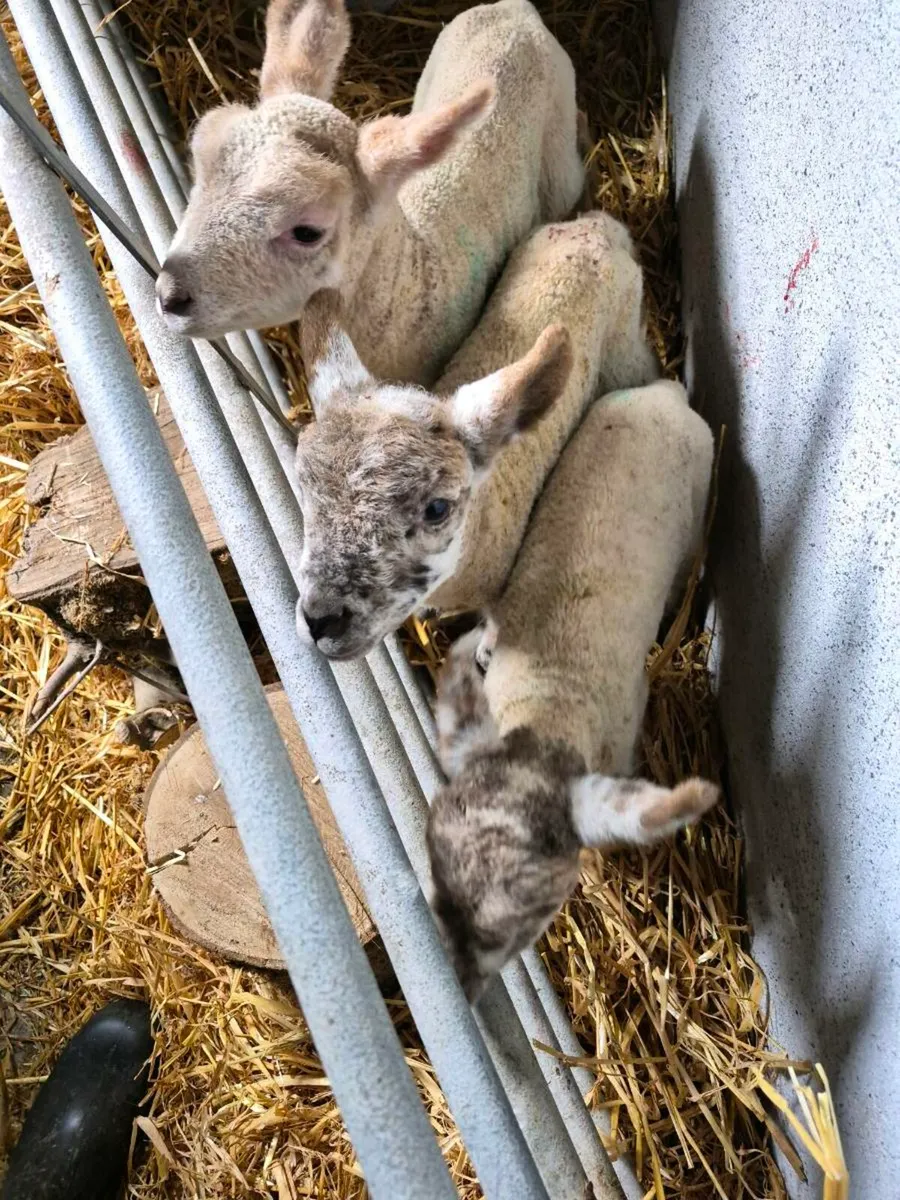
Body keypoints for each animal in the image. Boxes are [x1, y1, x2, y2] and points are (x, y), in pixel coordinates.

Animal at [293, 209, 659, 658]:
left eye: (437, 509)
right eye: (303, 487)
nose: (320, 619)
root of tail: (598, 226)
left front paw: (488, 646)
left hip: (628, 346)